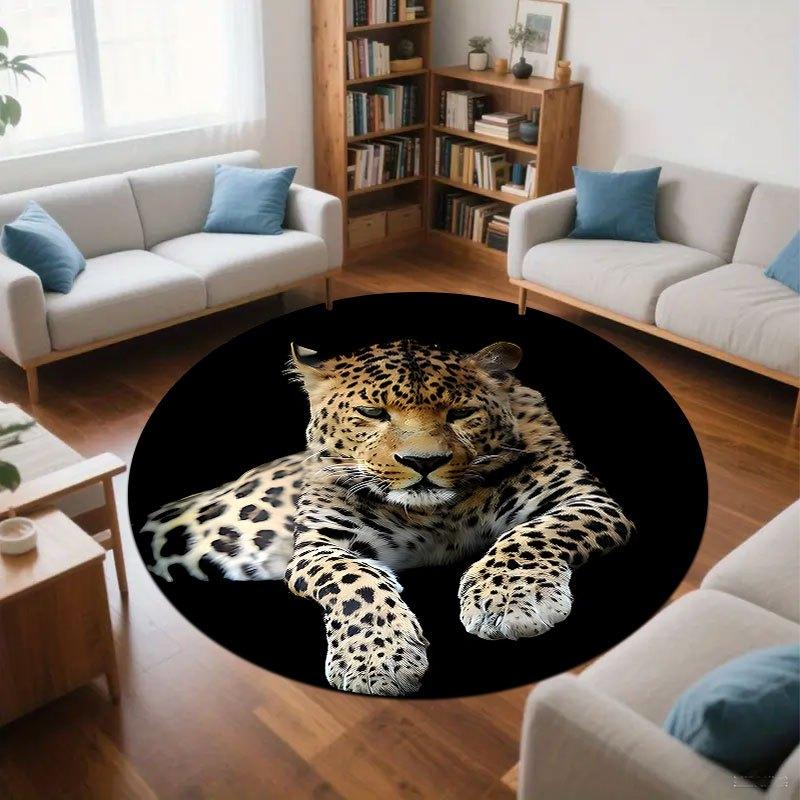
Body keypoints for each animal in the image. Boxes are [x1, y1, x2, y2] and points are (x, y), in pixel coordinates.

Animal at [139, 339, 634, 696]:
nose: (423, 462)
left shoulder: (584, 499)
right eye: (373, 412)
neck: (439, 515)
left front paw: (509, 601)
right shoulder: (318, 544)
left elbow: (531, 535)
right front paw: (378, 662)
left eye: (461, 412)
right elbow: (353, 581)